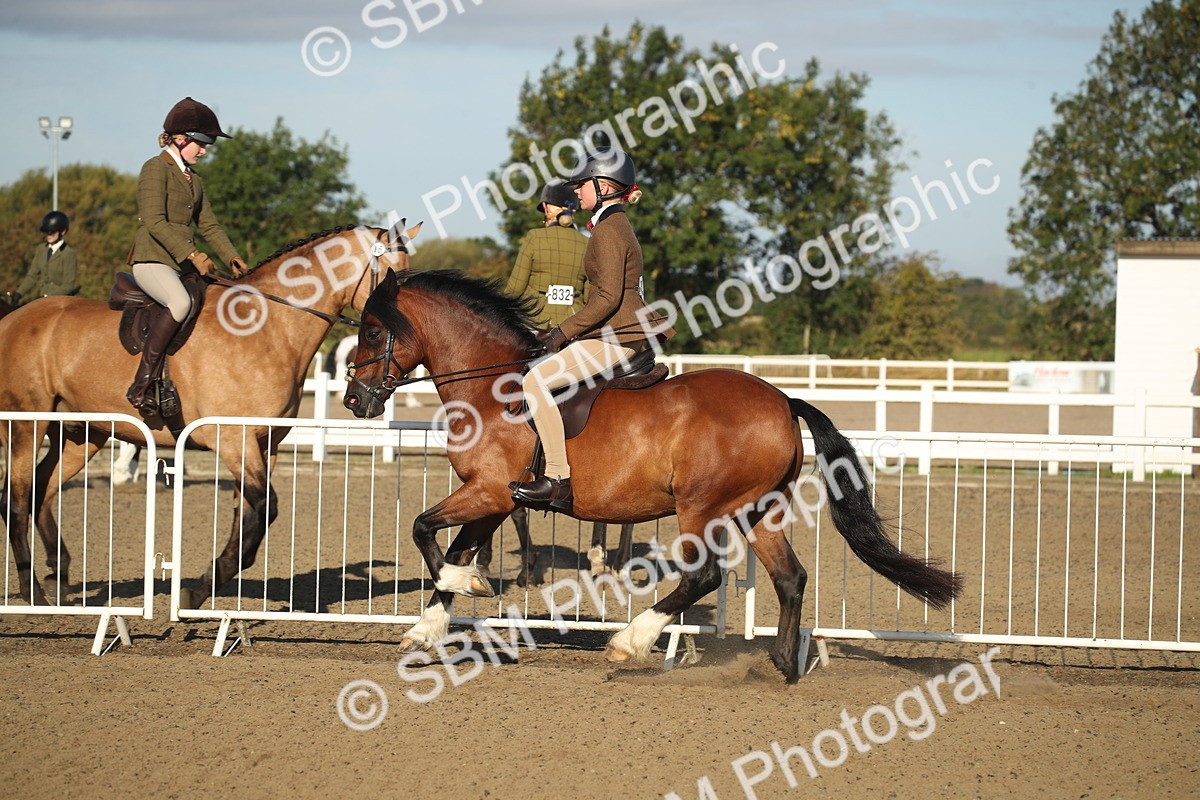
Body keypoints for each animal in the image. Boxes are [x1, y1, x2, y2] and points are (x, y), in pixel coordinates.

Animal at [0, 222, 419, 608]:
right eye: (393, 280)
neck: (269, 328)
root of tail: (11, 319)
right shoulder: (233, 439)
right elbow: (263, 509)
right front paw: (196, 592)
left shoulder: (264, 444)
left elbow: (246, 518)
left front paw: (206, 587)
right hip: (26, 424)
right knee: (16, 499)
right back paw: (32, 591)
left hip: (81, 434)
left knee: (41, 490)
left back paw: (59, 575)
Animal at [342, 268, 962, 683]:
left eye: (371, 331)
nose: (353, 400)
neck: (492, 387)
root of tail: (784, 400)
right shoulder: (495, 498)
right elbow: (453, 546)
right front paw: (432, 621)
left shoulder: (489, 491)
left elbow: (424, 529)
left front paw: (463, 588)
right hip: (759, 510)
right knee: (790, 578)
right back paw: (781, 667)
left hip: (701, 508)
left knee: (703, 576)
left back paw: (629, 642)